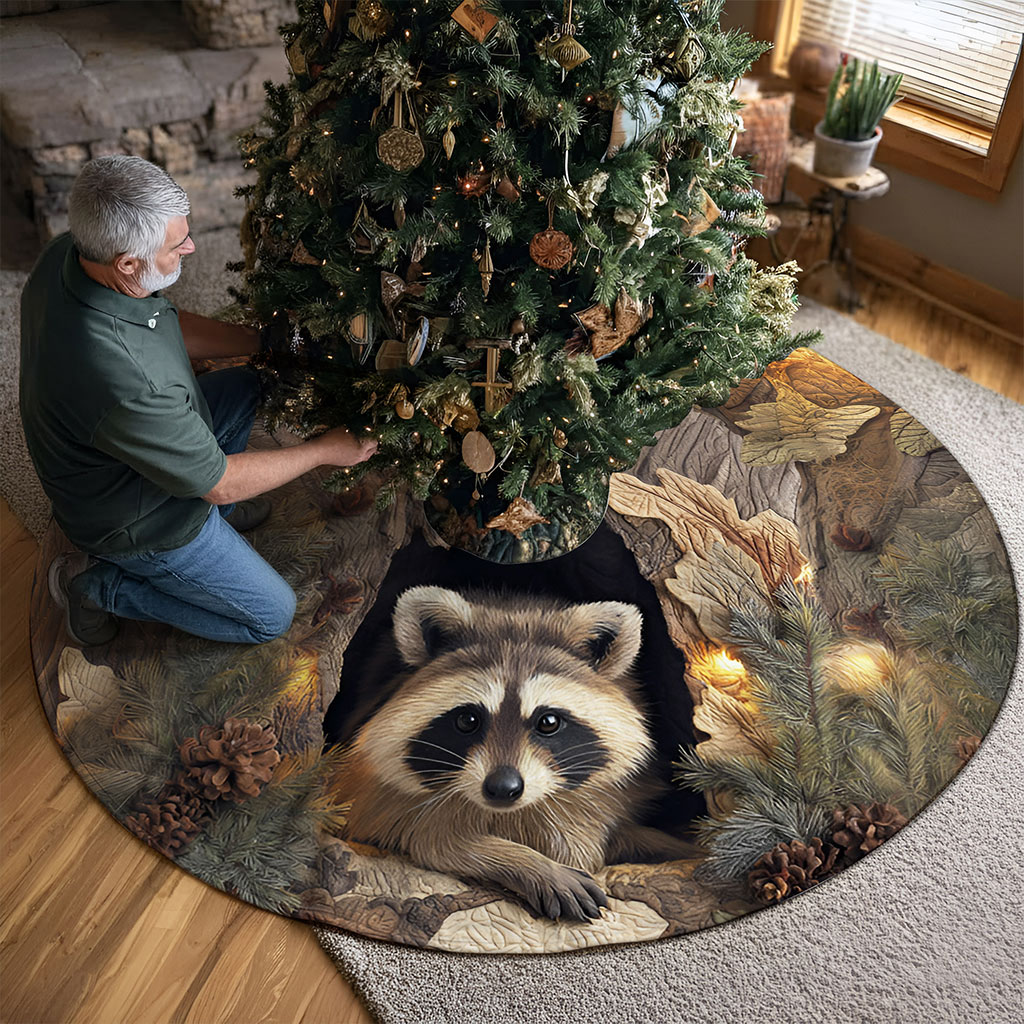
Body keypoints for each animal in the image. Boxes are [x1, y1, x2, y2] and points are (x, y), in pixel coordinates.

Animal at [334, 585, 695, 922]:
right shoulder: (379, 794)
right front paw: (529, 862)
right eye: (468, 720)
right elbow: (432, 840)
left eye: (548, 722)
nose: (503, 788)